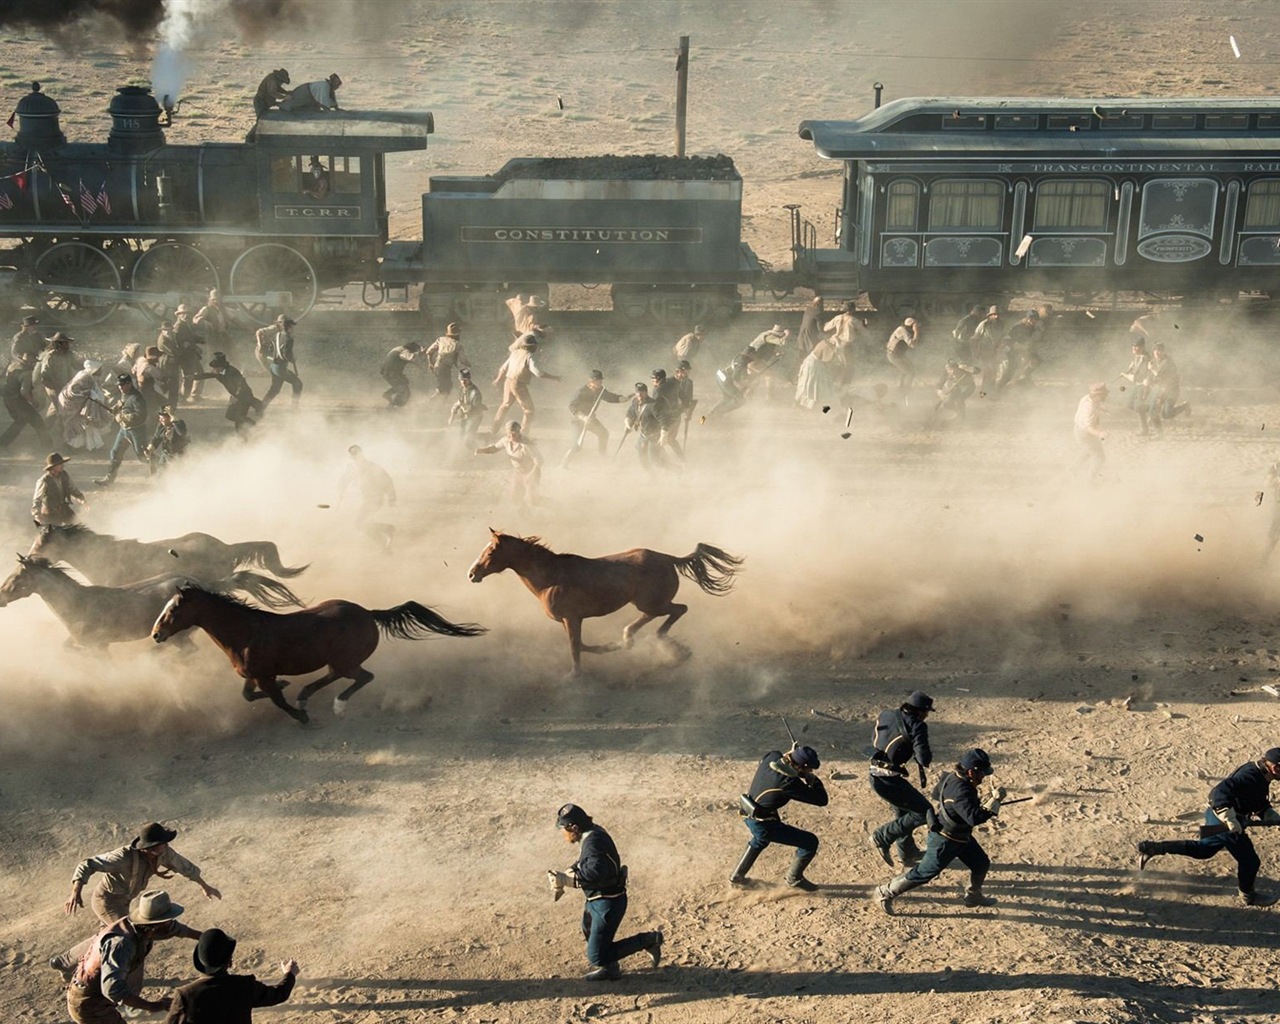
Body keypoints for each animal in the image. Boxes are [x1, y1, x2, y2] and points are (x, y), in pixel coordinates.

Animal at [149, 583, 486, 721]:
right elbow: (248, 695)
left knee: (363, 677)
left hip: (347, 661)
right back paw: (306, 695)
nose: (156, 634)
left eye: (174, 609)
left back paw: (334, 705)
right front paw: (290, 688)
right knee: (336, 677)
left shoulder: (263, 675)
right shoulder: (253, 675)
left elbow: (277, 701)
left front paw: (301, 717)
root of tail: (369, 613)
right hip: (337, 662)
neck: (245, 632)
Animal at [468, 532, 747, 675]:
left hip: (652, 603)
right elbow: (581, 645)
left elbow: (575, 648)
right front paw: (610, 648)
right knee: (658, 616)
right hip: (645, 603)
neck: (551, 577)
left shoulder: (572, 618)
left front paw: (575, 676)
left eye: (490, 552)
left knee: (679, 610)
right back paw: (632, 638)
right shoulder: (570, 621)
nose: (472, 574)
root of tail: (669, 558)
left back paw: (669, 647)